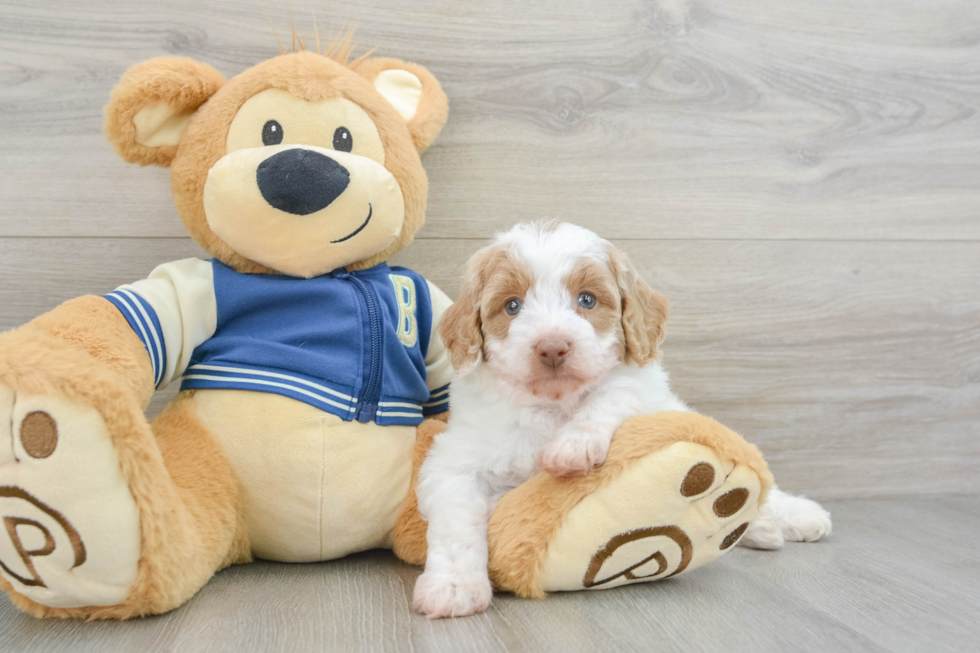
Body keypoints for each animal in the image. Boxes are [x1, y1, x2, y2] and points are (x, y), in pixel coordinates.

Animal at [414, 223, 836, 616]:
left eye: (587, 299)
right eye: (512, 306)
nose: (552, 348)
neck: (552, 406)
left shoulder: (644, 390)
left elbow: (611, 394)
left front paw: (574, 445)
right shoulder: (455, 461)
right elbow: (456, 522)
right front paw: (454, 586)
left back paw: (790, 516)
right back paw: (758, 527)